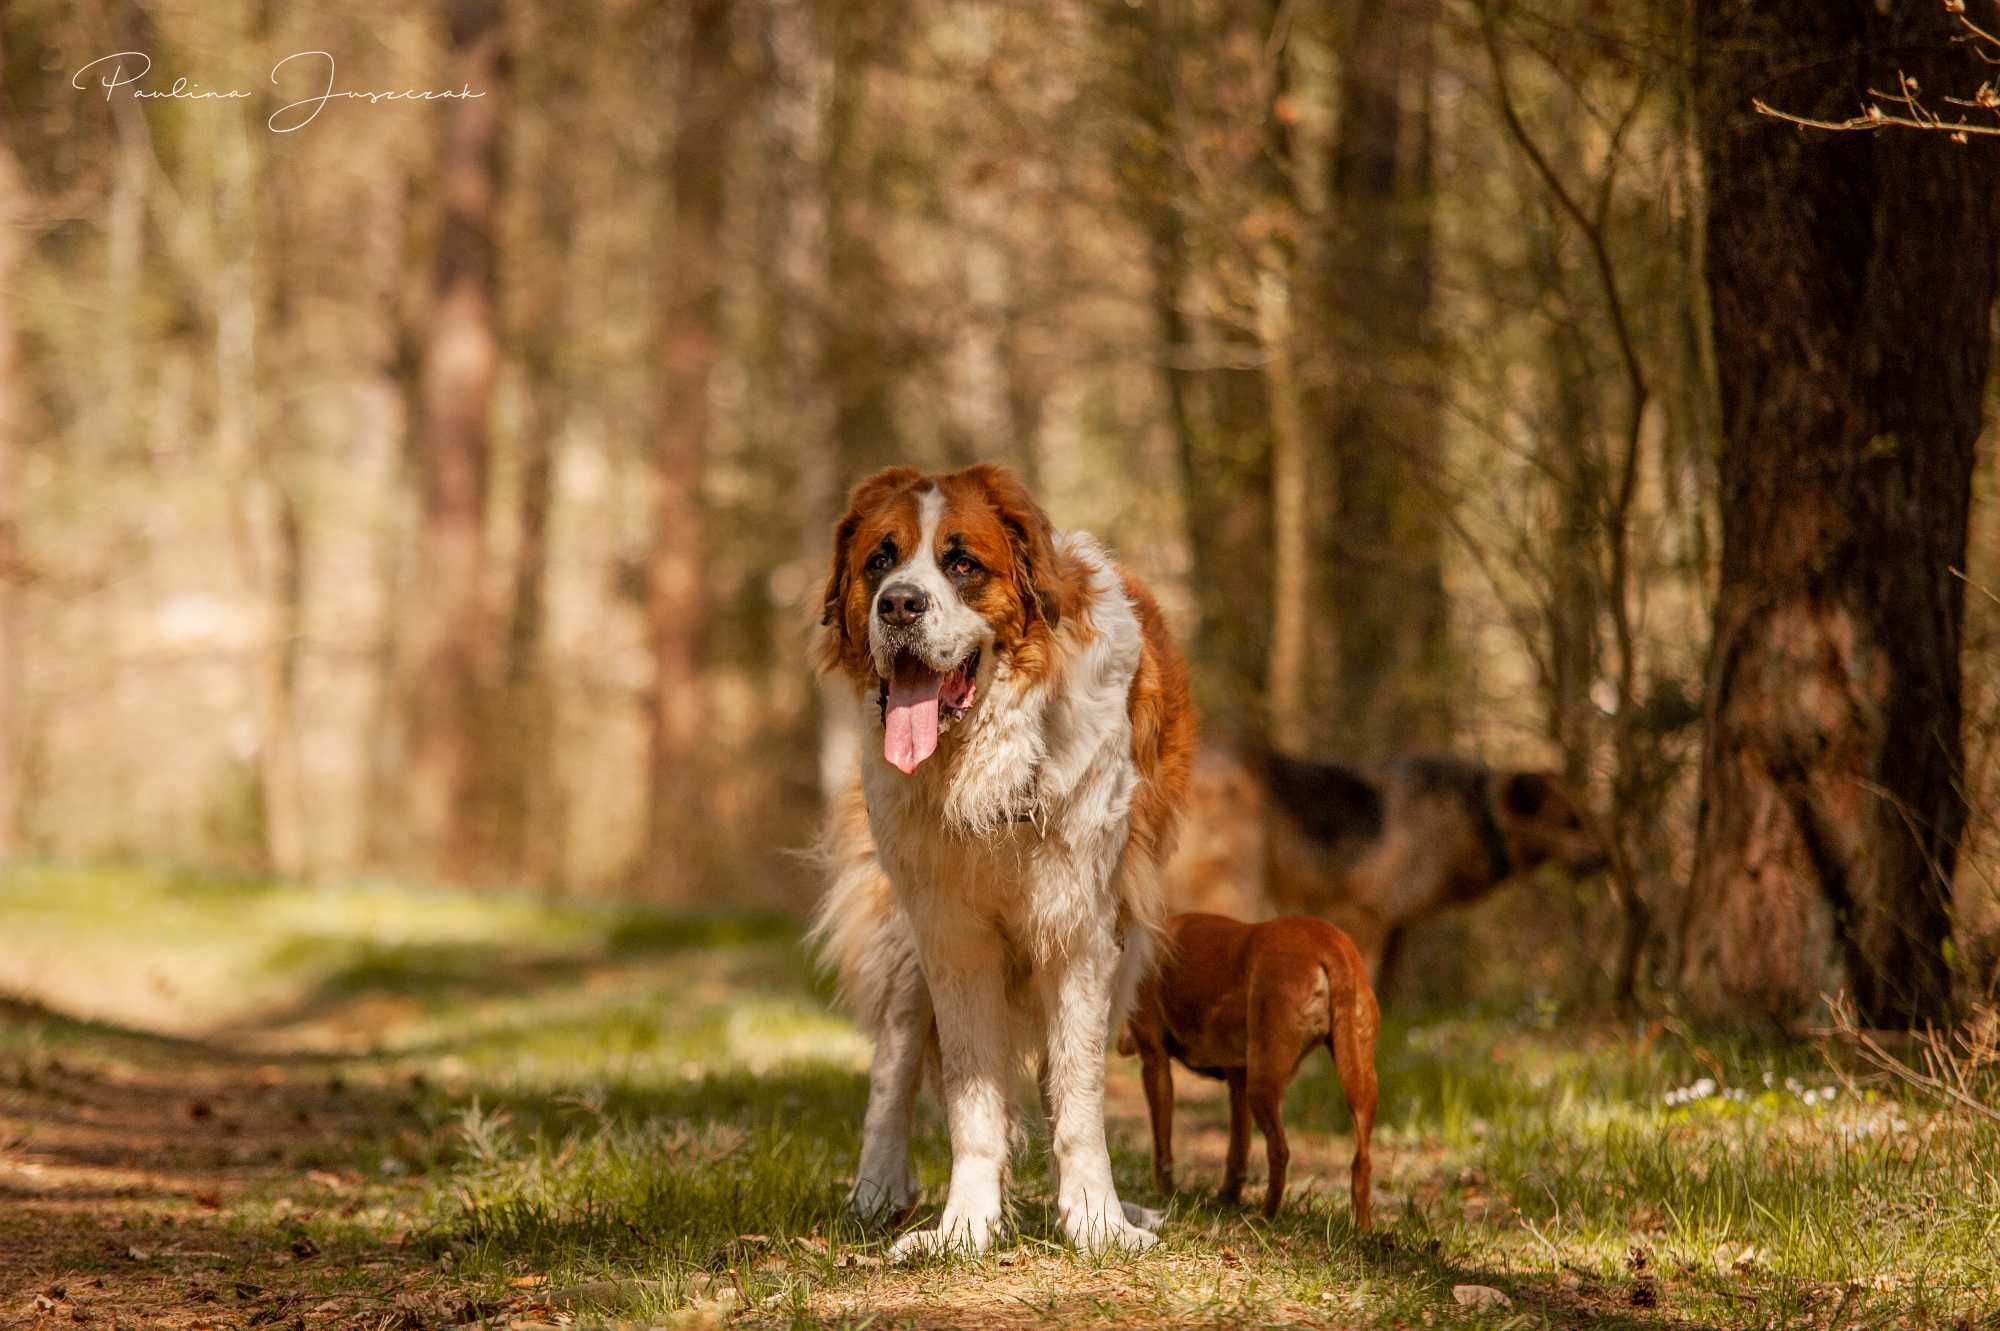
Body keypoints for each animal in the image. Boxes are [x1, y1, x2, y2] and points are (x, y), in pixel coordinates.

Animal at [808, 461, 1184, 1247]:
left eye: (962, 565)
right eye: (880, 561)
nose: (900, 604)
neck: (987, 764)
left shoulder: (1081, 932)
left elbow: (1077, 1092)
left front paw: (1097, 1222)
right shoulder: (954, 940)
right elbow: (970, 1095)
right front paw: (967, 1227)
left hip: (1126, 944)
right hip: (904, 936)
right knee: (892, 1067)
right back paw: (875, 1194)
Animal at [1120, 911, 1384, 1223]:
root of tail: (1329, 942)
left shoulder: (1155, 1061)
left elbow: (1163, 1147)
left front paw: (1164, 1194)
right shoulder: (1238, 1078)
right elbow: (1238, 1150)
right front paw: (1227, 1197)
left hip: (1262, 1086)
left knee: (1280, 1150)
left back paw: (1266, 1216)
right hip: (1359, 1084)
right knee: (1362, 1161)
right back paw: (1361, 1227)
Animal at [1168, 747, 1608, 975]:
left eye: (1586, 817)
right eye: (1570, 821)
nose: (1607, 860)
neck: (1481, 815)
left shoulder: (1397, 928)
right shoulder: (1367, 918)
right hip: (1229, 893)